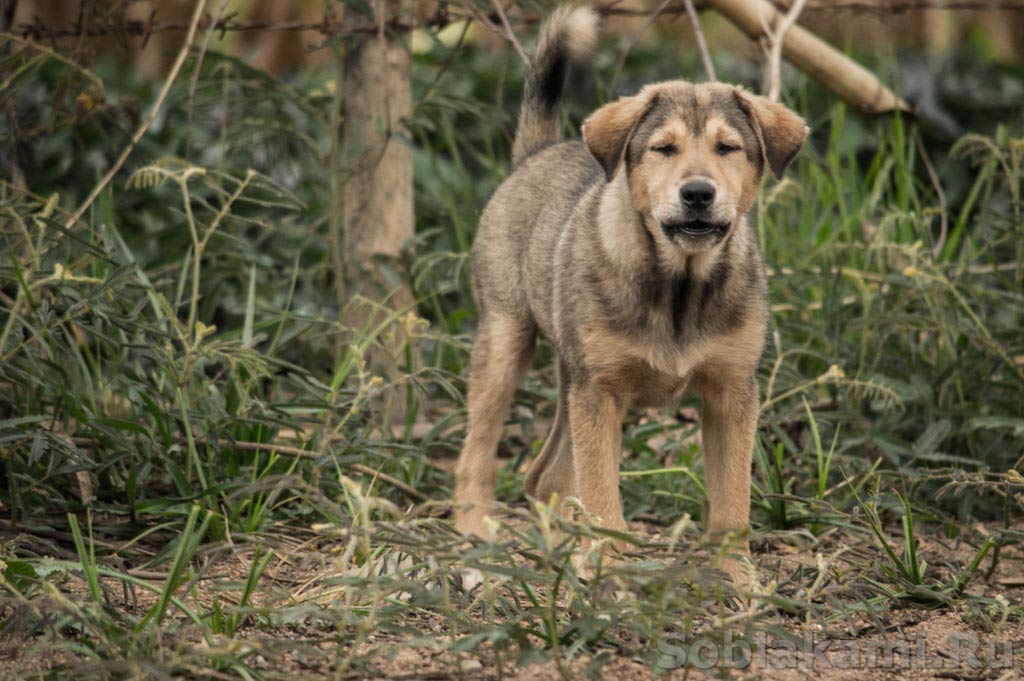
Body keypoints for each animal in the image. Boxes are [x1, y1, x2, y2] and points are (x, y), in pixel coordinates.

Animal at [452, 6, 802, 577]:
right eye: (663, 149)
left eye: (728, 148)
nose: (698, 193)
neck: (679, 285)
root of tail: (537, 152)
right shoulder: (601, 393)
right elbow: (601, 489)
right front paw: (608, 562)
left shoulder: (732, 392)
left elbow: (732, 496)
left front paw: (736, 575)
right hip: (505, 339)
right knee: (479, 448)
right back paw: (475, 526)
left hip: (570, 376)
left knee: (544, 476)